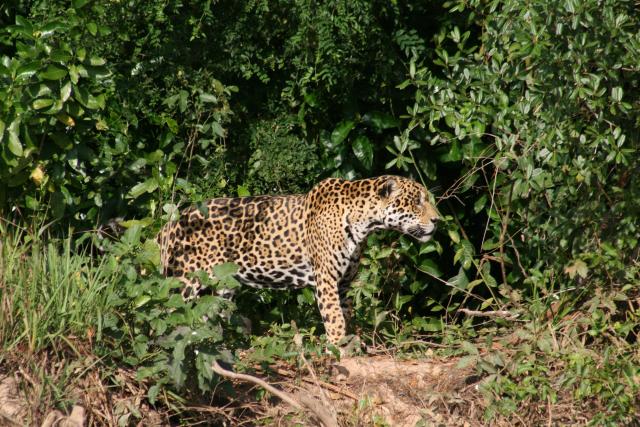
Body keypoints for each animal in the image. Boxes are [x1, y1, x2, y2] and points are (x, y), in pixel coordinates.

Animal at [157, 175, 440, 346]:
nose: (438, 220)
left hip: (220, 286)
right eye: (417, 202)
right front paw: (336, 351)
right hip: (184, 279)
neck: (364, 224)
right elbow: (335, 318)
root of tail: (171, 223)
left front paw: (347, 346)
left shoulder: (343, 284)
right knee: (168, 313)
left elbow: (346, 315)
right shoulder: (325, 280)